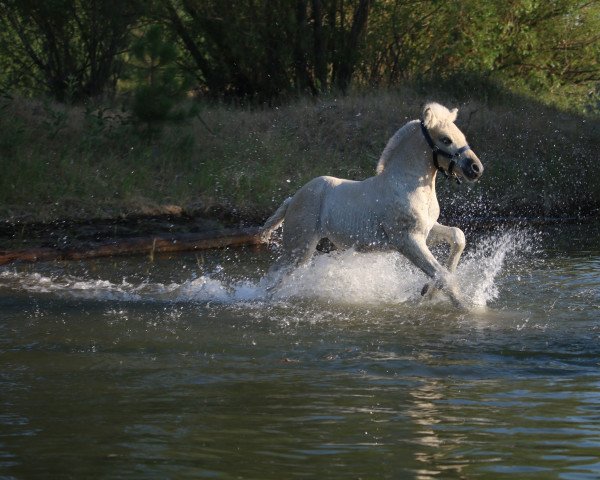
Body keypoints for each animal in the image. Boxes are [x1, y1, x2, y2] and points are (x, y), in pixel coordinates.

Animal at [262, 104, 482, 308]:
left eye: (461, 135)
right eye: (446, 139)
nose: (476, 168)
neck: (406, 184)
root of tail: (292, 200)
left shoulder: (426, 231)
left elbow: (457, 237)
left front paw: (428, 291)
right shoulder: (407, 240)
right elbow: (442, 274)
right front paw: (465, 307)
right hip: (299, 249)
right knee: (273, 276)